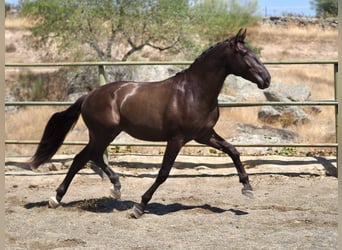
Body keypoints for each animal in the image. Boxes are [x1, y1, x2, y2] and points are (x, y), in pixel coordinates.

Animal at [30, 28, 270, 217]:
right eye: (244, 53)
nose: (266, 79)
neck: (194, 92)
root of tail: (88, 96)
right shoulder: (177, 139)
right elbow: (163, 173)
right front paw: (140, 207)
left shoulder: (204, 135)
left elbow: (233, 151)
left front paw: (247, 188)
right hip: (103, 133)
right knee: (87, 157)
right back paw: (81, 193)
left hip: (104, 134)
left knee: (86, 158)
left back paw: (82, 194)